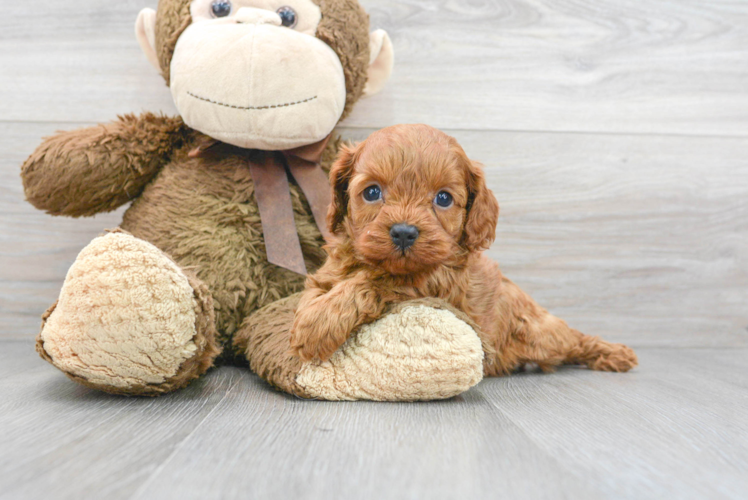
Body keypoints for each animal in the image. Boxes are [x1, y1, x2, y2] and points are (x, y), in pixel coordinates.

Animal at [290, 125, 636, 376]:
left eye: (443, 198)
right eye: (372, 192)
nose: (403, 232)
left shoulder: (434, 282)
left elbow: (372, 282)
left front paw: (316, 326)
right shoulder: (327, 274)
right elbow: (314, 292)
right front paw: (309, 318)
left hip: (541, 334)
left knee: (573, 340)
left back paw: (614, 353)